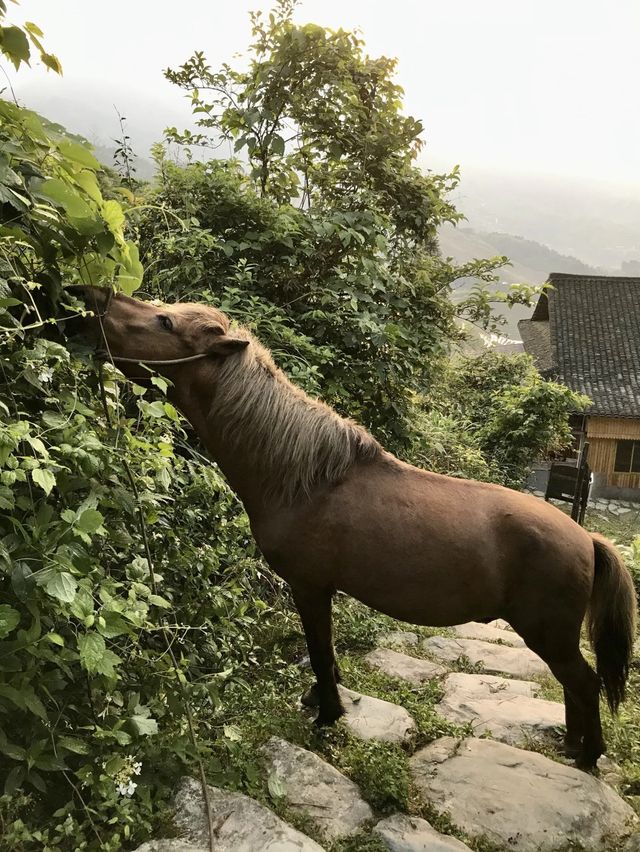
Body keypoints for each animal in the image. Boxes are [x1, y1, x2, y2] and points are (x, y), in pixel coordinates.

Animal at [79, 288, 636, 772]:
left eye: (164, 322)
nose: (91, 297)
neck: (306, 479)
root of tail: (588, 539)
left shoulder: (309, 587)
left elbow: (320, 654)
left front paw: (328, 714)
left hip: (549, 634)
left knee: (584, 685)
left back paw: (588, 756)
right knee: (573, 687)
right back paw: (571, 743)